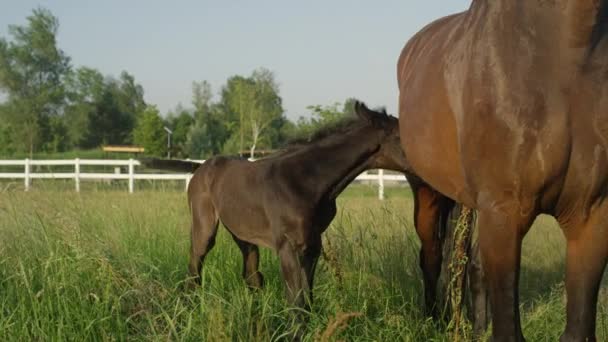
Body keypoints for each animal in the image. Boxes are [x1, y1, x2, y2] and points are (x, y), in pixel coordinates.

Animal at [142, 101, 408, 310]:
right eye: (402, 135)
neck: (307, 180)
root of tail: (200, 168)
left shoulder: (313, 245)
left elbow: (306, 299)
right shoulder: (288, 246)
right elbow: (295, 300)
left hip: (244, 235)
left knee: (251, 276)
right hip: (204, 227)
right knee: (194, 269)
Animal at [396, 1, 608, 340]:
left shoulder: (591, 215)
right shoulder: (503, 211)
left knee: (471, 264)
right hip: (429, 192)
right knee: (432, 256)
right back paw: (435, 320)